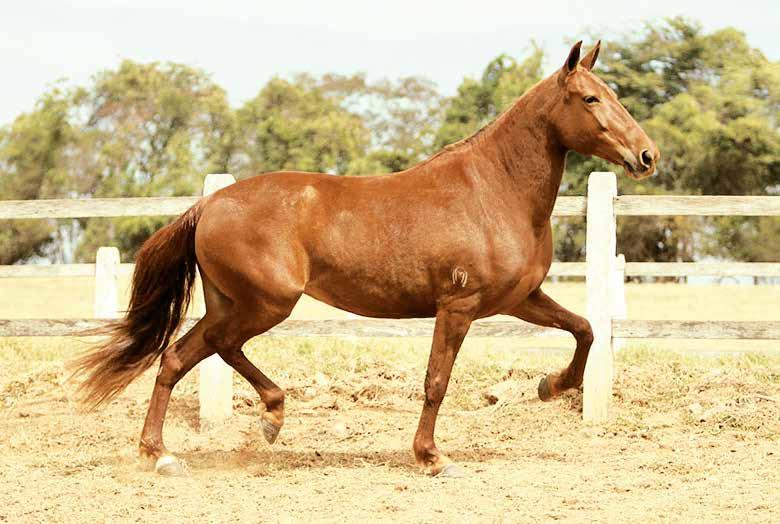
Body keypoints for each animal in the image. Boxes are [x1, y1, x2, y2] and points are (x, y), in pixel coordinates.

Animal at [73, 40, 660, 474]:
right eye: (590, 99)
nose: (647, 155)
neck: (494, 191)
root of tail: (208, 204)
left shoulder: (520, 298)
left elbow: (584, 329)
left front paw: (550, 387)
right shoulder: (459, 306)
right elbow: (436, 381)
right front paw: (431, 457)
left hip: (235, 303)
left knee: (188, 354)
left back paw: (201, 441)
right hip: (266, 303)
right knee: (201, 350)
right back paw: (197, 442)